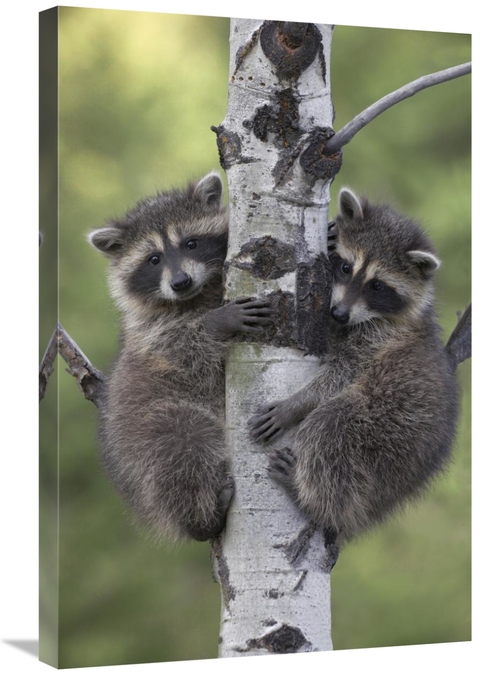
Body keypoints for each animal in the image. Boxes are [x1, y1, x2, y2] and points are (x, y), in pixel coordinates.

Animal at [89, 172, 271, 542]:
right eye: (153, 259)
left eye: (191, 243)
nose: (180, 282)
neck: (196, 297)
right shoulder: (150, 334)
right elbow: (185, 350)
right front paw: (215, 323)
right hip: (153, 427)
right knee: (183, 450)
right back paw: (200, 519)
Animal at [248, 187, 459, 544]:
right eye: (346, 267)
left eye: (377, 285)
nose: (338, 314)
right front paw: (332, 231)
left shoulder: (379, 340)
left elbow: (341, 374)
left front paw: (295, 404)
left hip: (388, 429)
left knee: (329, 426)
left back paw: (315, 501)